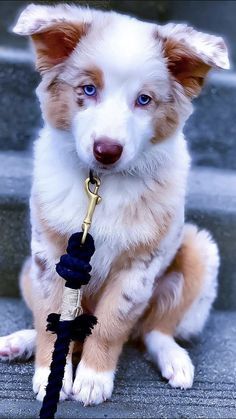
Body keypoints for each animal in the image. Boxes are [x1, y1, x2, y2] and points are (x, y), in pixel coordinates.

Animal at [0, 3, 229, 406]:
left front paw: (93, 380)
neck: (102, 184)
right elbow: (50, 319)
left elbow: (109, 324)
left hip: (199, 252)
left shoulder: (139, 265)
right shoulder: (49, 255)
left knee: (153, 330)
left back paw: (175, 360)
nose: (106, 150)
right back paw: (18, 342)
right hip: (28, 270)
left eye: (144, 100)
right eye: (88, 89)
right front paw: (50, 375)